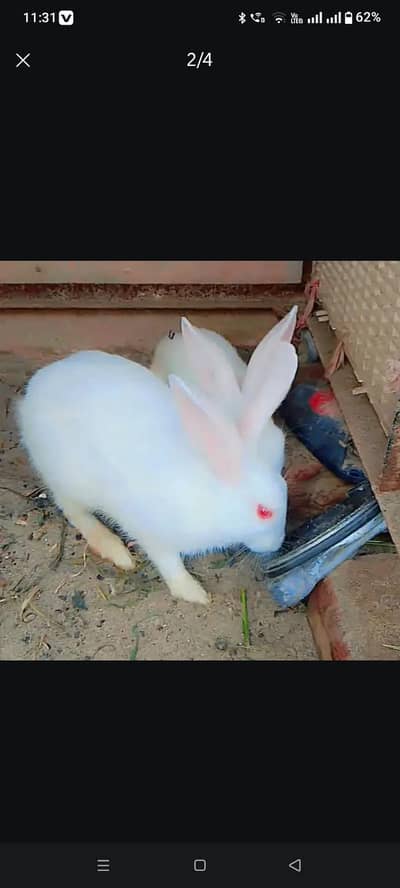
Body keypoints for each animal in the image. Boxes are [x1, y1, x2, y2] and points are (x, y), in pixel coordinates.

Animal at [16, 335, 297, 605]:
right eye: (264, 512)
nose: (277, 543)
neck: (211, 493)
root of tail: (34, 389)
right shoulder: (152, 534)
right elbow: (169, 563)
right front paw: (194, 593)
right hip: (69, 478)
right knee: (72, 509)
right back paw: (115, 549)